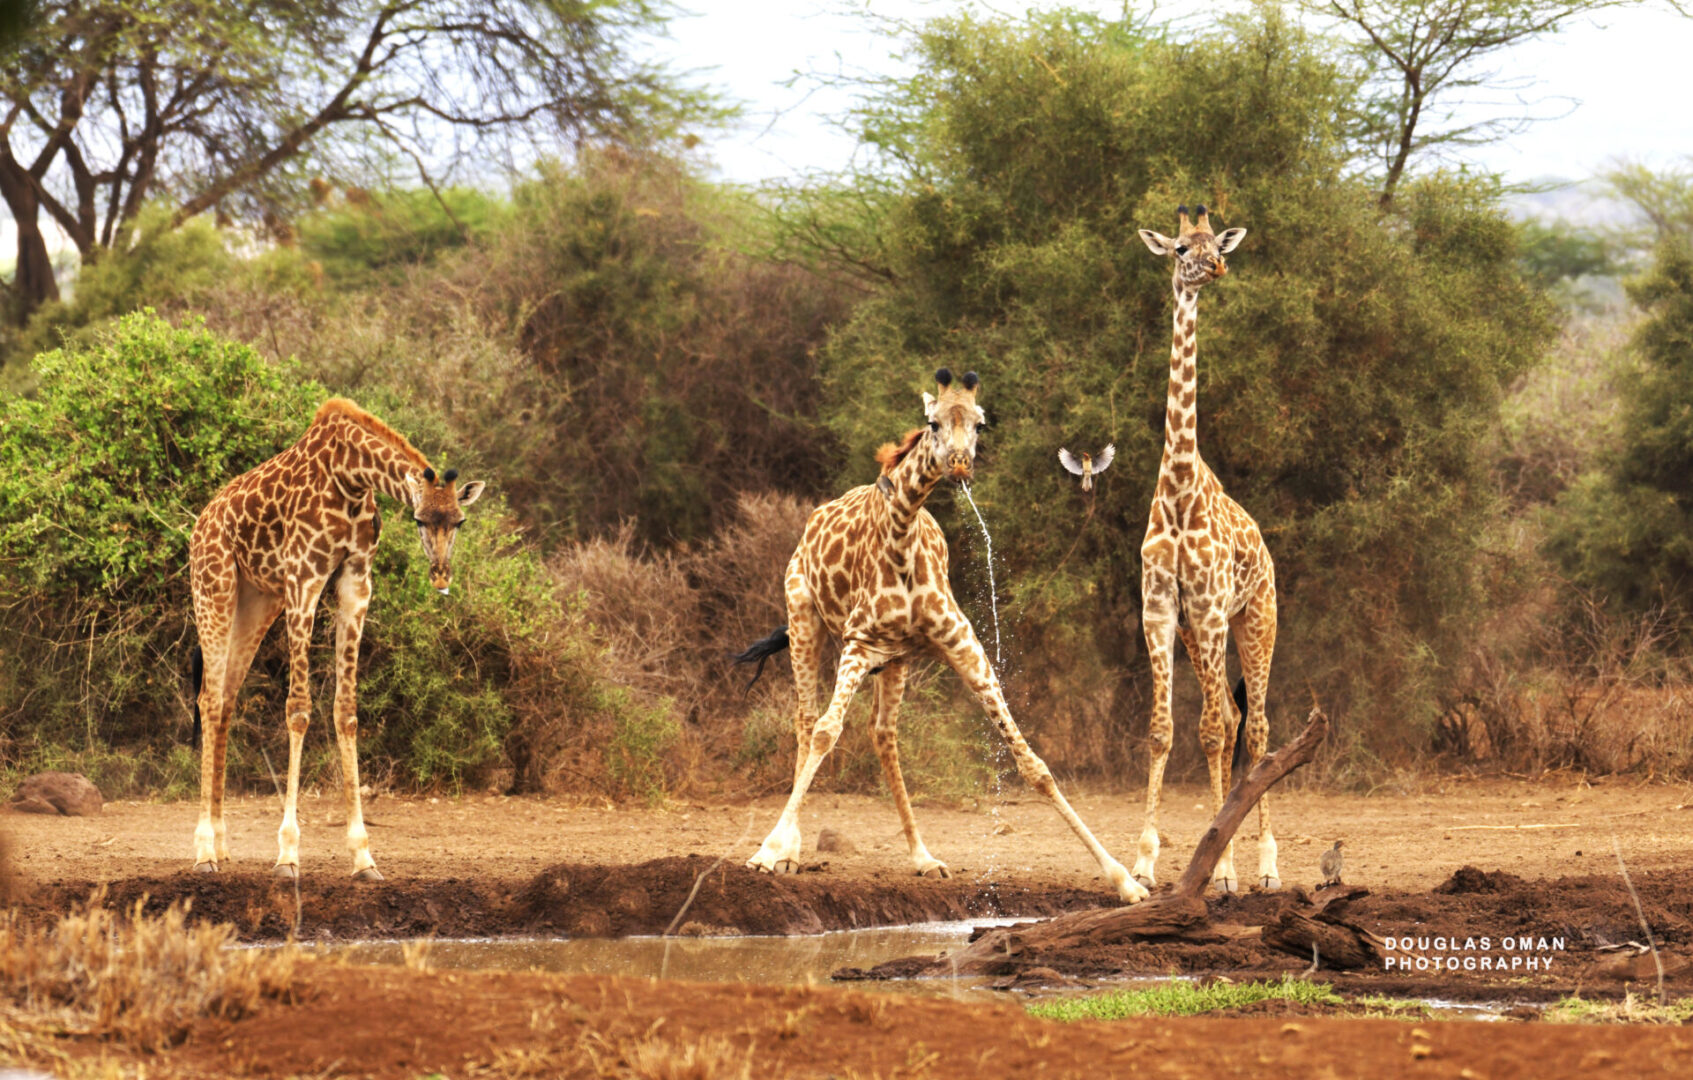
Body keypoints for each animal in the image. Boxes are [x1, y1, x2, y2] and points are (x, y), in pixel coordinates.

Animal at [189, 397, 487, 880]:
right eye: (420, 519)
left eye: (459, 521)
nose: (441, 575)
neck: (351, 478)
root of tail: (201, 523)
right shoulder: (303, 577)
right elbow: (297, 710)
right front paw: (288, 854)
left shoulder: (356, 581)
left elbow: (346, 712)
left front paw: (364, 856)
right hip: (213, 586)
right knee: (209, 700)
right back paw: (202, 852)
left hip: (257, 602)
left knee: (228, 700)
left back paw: (221, 844)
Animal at [734, 370, 1144, 907]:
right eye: (932, 422)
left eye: (981, 424)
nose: (960, 464)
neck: (903, 538)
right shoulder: (858, 643)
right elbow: (826, 731)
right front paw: (765, 853)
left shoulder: (964, 647)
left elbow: (1033, 763)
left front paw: (1125, 879)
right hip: (804, 617)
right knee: (807, 721)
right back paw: (790, 850)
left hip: (895, 660)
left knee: (883, 733)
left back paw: (923, 857)